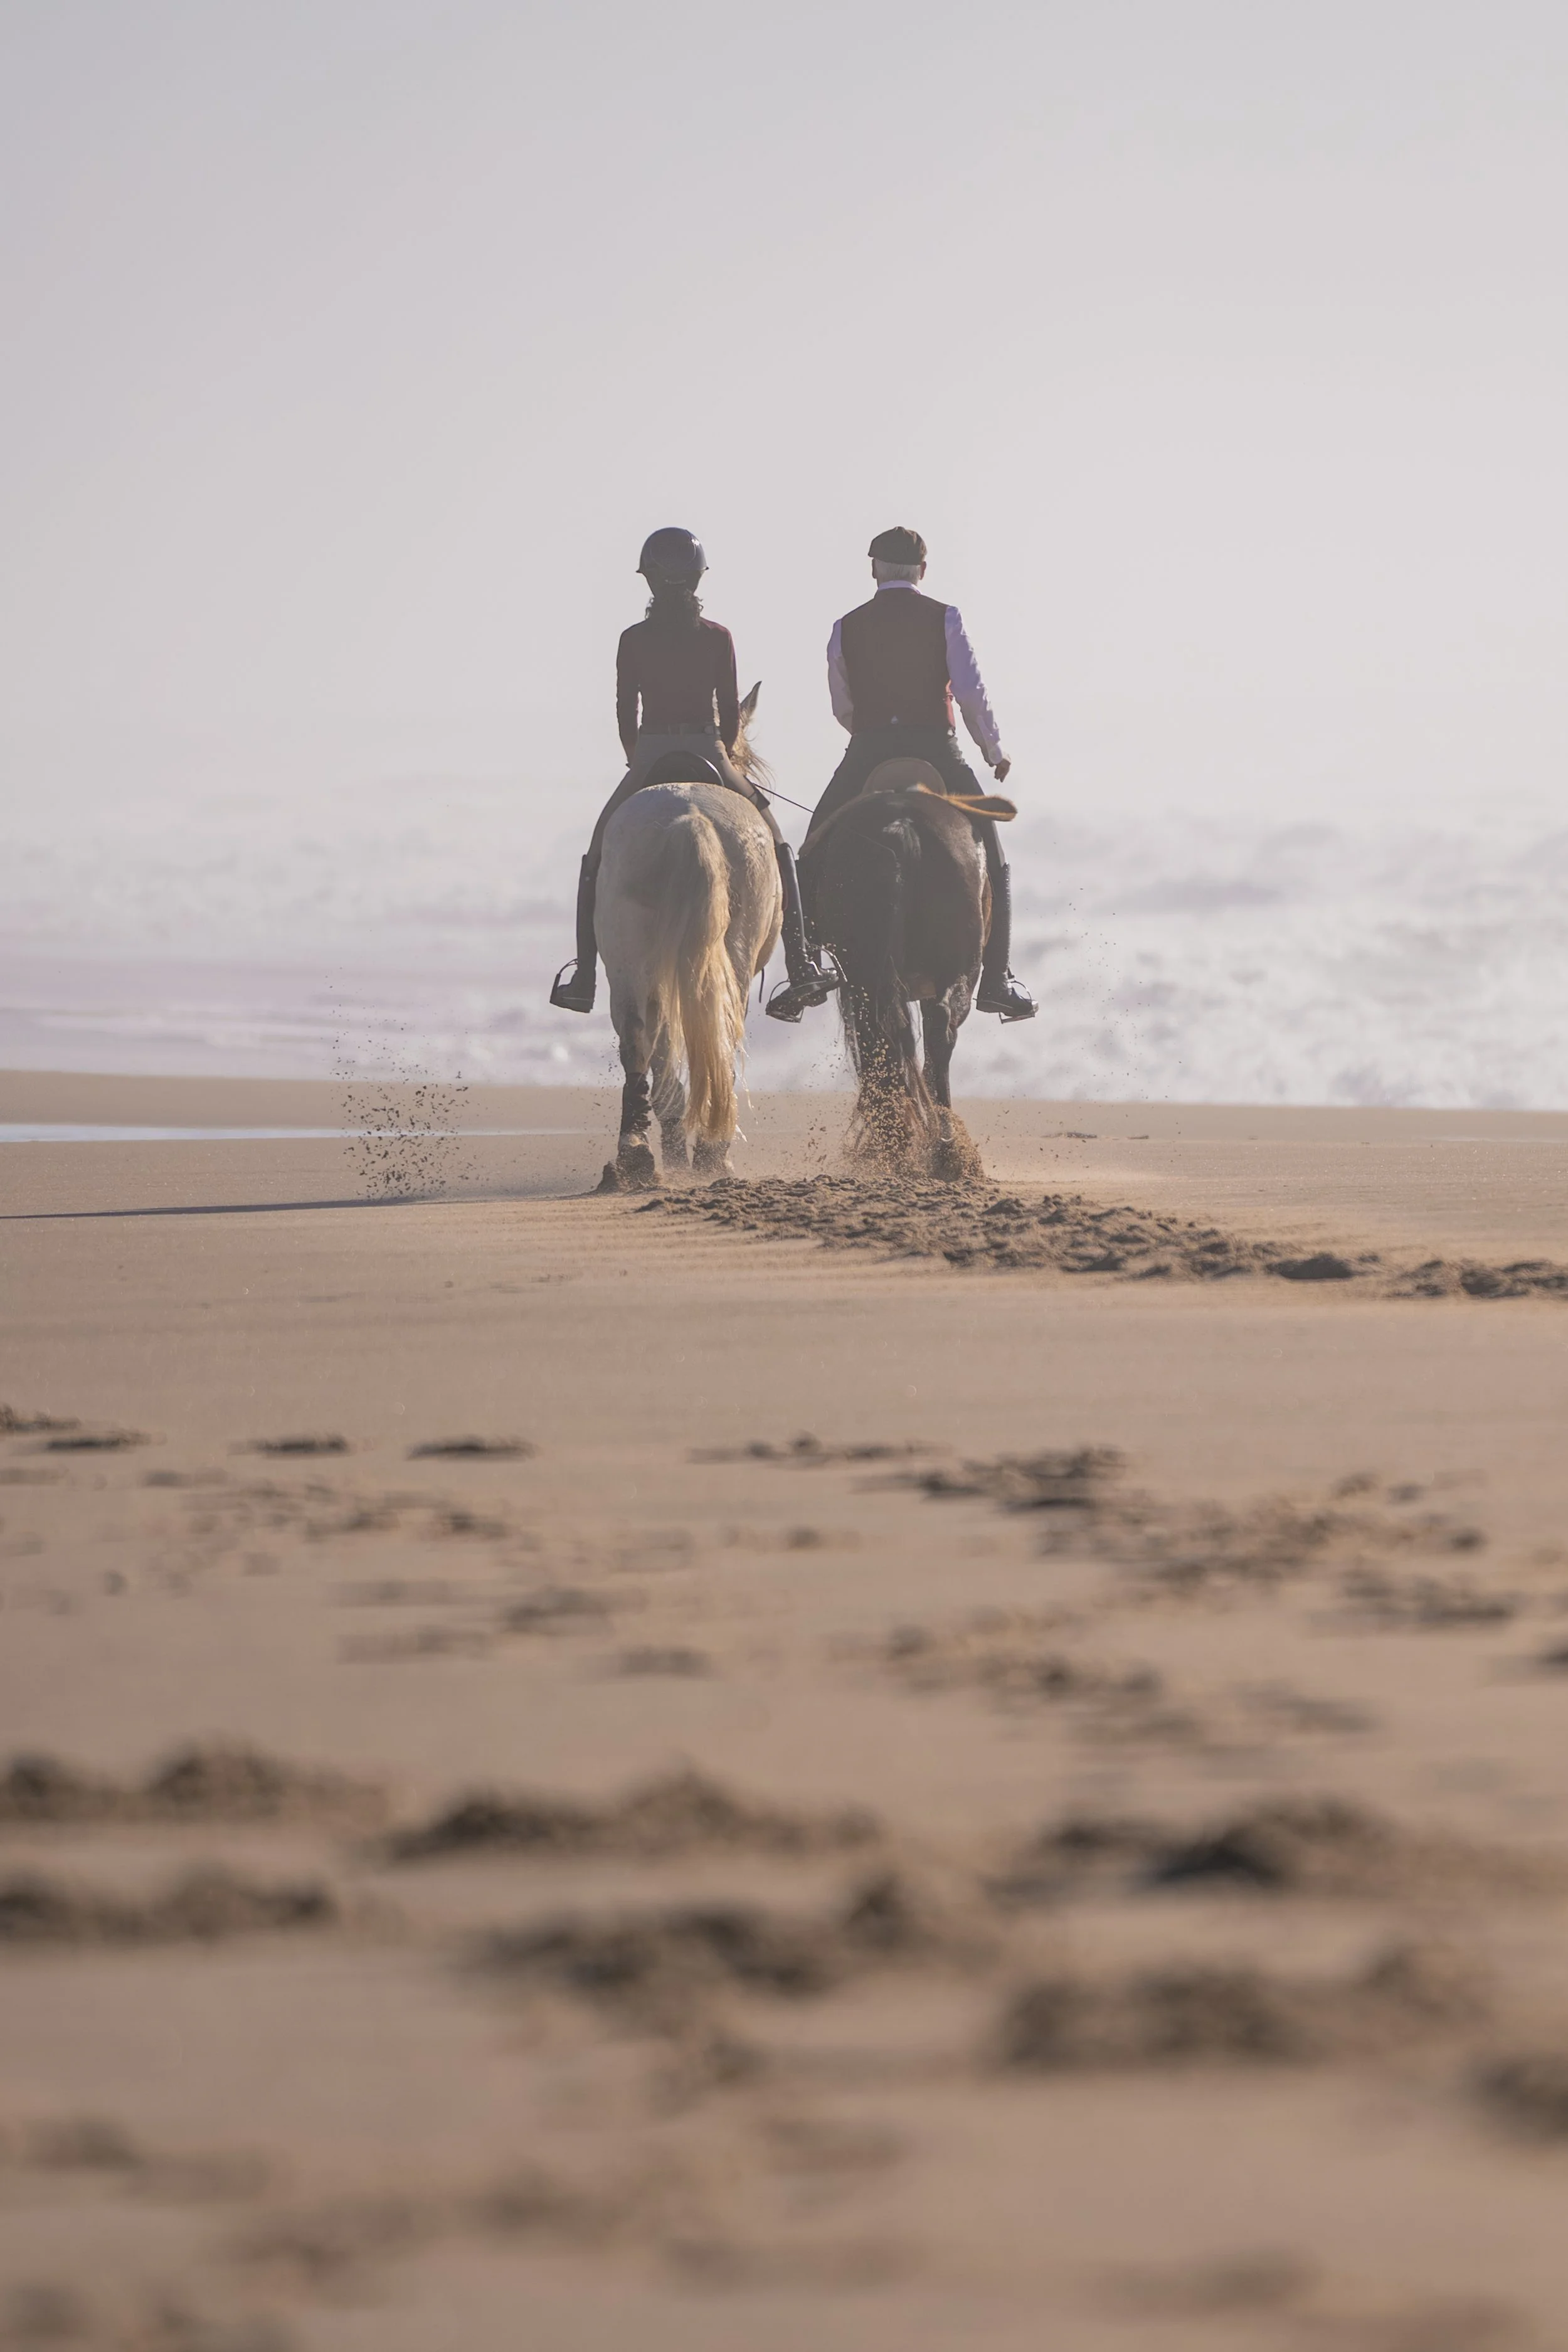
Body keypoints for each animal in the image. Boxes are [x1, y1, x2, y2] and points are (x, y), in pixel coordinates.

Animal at [593, 687, 781, 1190]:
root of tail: (690, 819)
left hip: (630, 953)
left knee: (640, 1032)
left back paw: (637, 1153)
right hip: (730, 952)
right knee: (718, 1031)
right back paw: (709, 1153)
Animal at [800, 765, 990, 1180]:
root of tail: (903, 828)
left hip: (868, 975)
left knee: (885, 1034)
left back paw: (907, 1141)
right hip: (950, 968)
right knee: (936, 1028)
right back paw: (940, 1144)